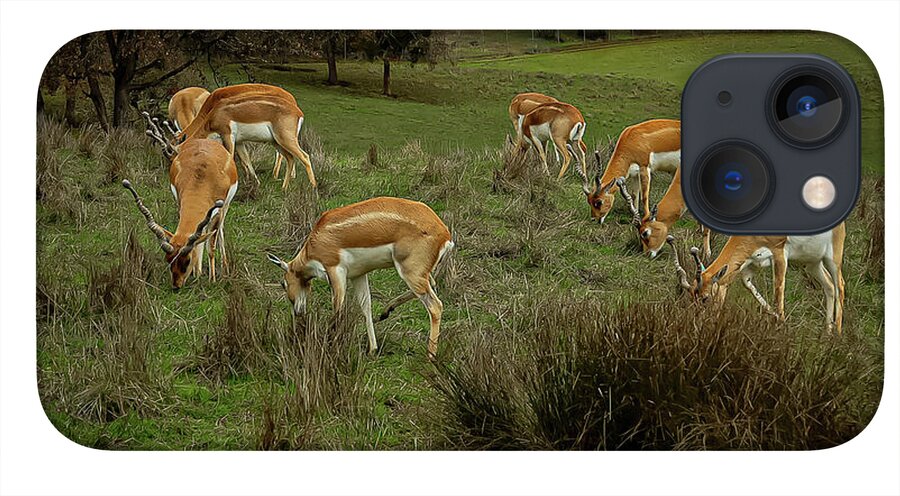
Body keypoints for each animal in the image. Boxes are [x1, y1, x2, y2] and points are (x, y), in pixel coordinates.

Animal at [122, 138, 238, 290]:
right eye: (168, 259)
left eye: (187, 261)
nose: (176, 286)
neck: (202, 178)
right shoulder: (180, 202)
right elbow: (198, 241)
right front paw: (197, 274)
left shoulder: (218, 211)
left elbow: (211, 247)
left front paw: (212, 280)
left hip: (225, 207)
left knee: (219, 232)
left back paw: (225, 267)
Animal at [266, 197, 454, 358]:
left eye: (283, 283)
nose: (298, 312)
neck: (316, 240)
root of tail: (445, 234)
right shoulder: (358, 275)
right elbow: (366, 307)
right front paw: (372, 349)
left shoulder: (335, 271)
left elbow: (338, 309)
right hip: (418, 273)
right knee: (431, 284)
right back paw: (385, 312)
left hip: (409, 272)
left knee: (435, 306)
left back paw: (430, 355)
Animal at [667, 224, 846, 334]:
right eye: (692, 297)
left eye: (705, 298)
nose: (699, 323)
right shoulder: (751, 264)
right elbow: (749, 286)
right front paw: (776, 318)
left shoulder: (780, 255)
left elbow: (778, 290)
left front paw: (780, 325)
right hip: (812, 263)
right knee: (829, 286)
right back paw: (827, 332)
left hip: (832, 258)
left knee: (840, 285)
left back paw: (837, 334)